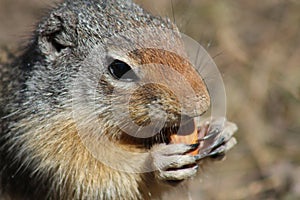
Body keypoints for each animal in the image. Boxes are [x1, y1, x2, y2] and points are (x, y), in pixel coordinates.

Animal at [1, 0, 238, 199]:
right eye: (119, 68)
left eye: (179, 41)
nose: (200, 105)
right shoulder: (43, 147)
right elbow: (98, 175)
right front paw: (158, 159)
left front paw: (218, 129)